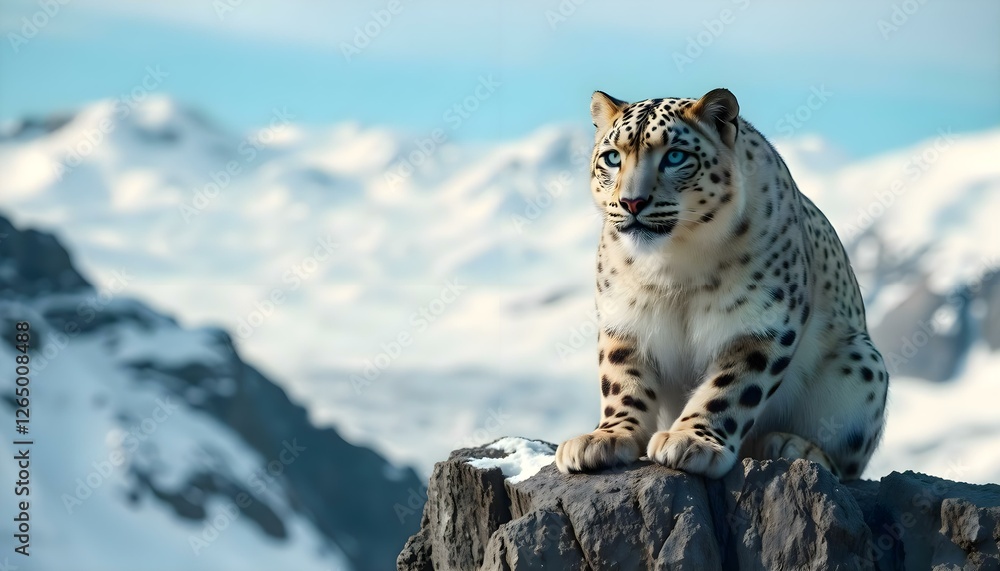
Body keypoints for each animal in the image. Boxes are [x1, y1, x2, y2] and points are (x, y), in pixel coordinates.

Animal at [555, 88, 888, 480]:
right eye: (612, 157)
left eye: (675, 155)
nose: (631, 202)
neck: (673, 268)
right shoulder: (623, 319)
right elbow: (622, 379)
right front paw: (605, 438)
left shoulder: (762, 324)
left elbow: (730, 388)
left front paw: (690, 441)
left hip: (862, 368)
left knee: (846, 464)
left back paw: (794, 446)